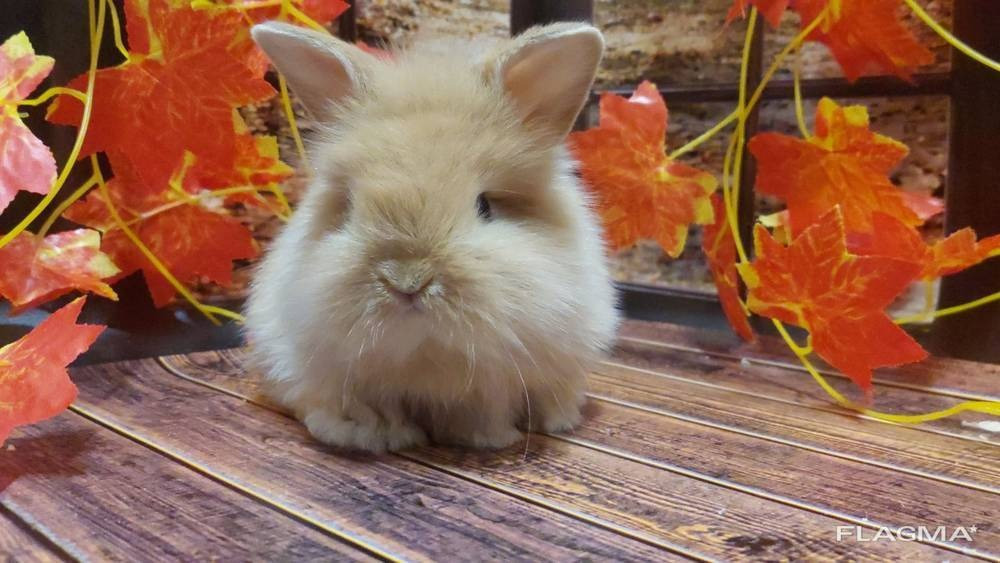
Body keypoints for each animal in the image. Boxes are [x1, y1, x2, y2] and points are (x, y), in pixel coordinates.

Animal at [244, 20, 620, 453]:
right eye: (350, 205)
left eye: (485, 206)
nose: (406, 281)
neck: (429, 357)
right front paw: (375, 435)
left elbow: (485, 410)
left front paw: (490, 438)